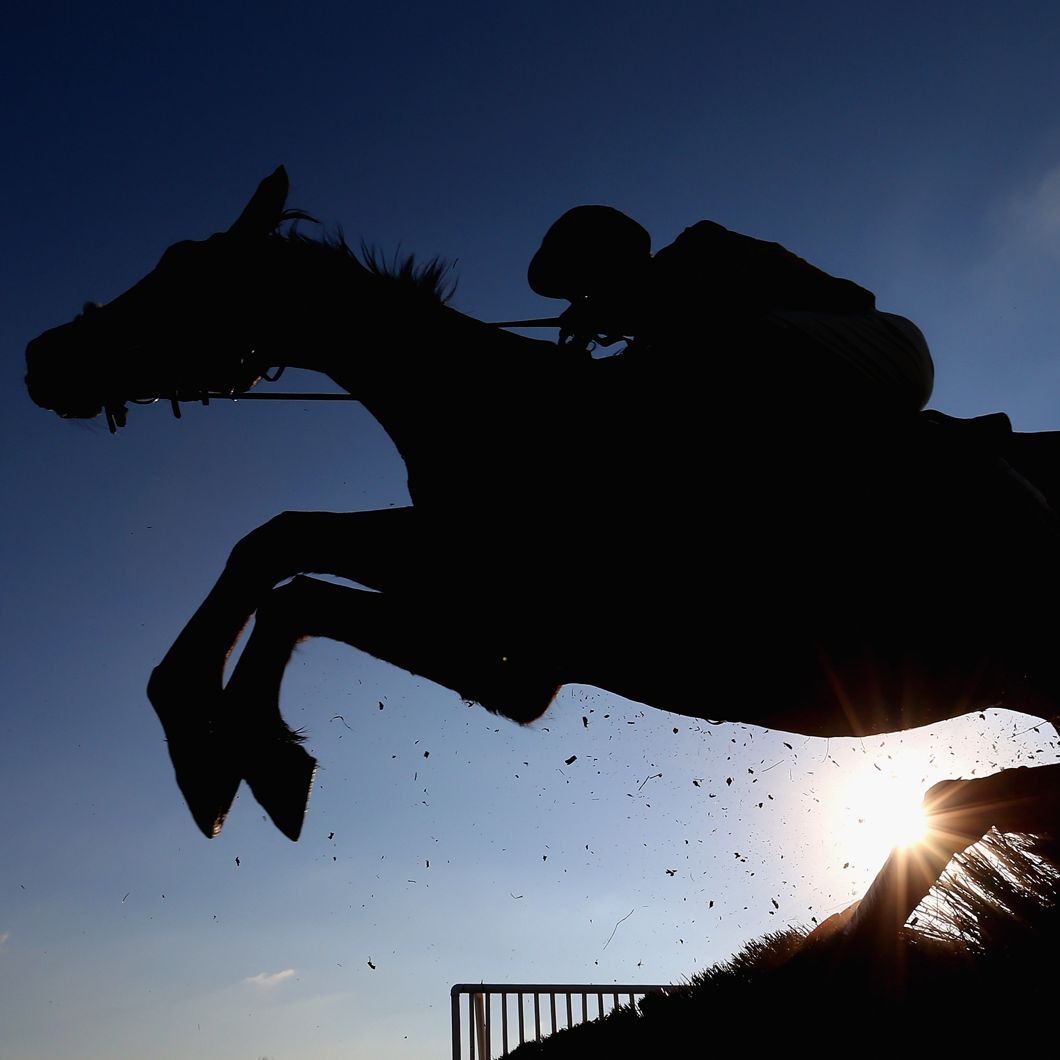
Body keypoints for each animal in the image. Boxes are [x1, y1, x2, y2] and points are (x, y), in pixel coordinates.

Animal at [25, 167, 1060, 847]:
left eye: (183, 272)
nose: (42, 358)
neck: (510, 413)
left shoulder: (509, 614)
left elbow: (289, 575)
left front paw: (227, 747)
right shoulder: (499, 641)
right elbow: (282, 551)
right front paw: (231, 746)